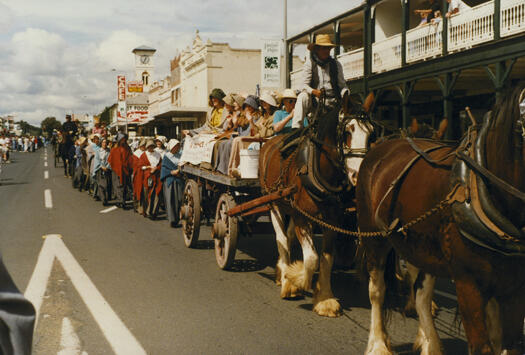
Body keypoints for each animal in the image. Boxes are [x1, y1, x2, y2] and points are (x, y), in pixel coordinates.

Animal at [258, 96, 372, 318]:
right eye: (348, 131)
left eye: (371, 134)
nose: (358, 175)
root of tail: (270, 142)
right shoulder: (303, 218)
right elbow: (311, 258)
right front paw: (295, 279)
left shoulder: (332, 220)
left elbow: (326, 259)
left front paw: (325, 298)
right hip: (273, 202)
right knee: (281, 239)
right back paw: (284, 276)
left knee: (288, 236)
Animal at [356, 86, 524, 355]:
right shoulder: (468, 282)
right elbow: (481, 345)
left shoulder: (514, 286)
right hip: (374, 238)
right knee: (377, 290)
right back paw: (378, 343)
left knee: (421, 294)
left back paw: (429, 343)